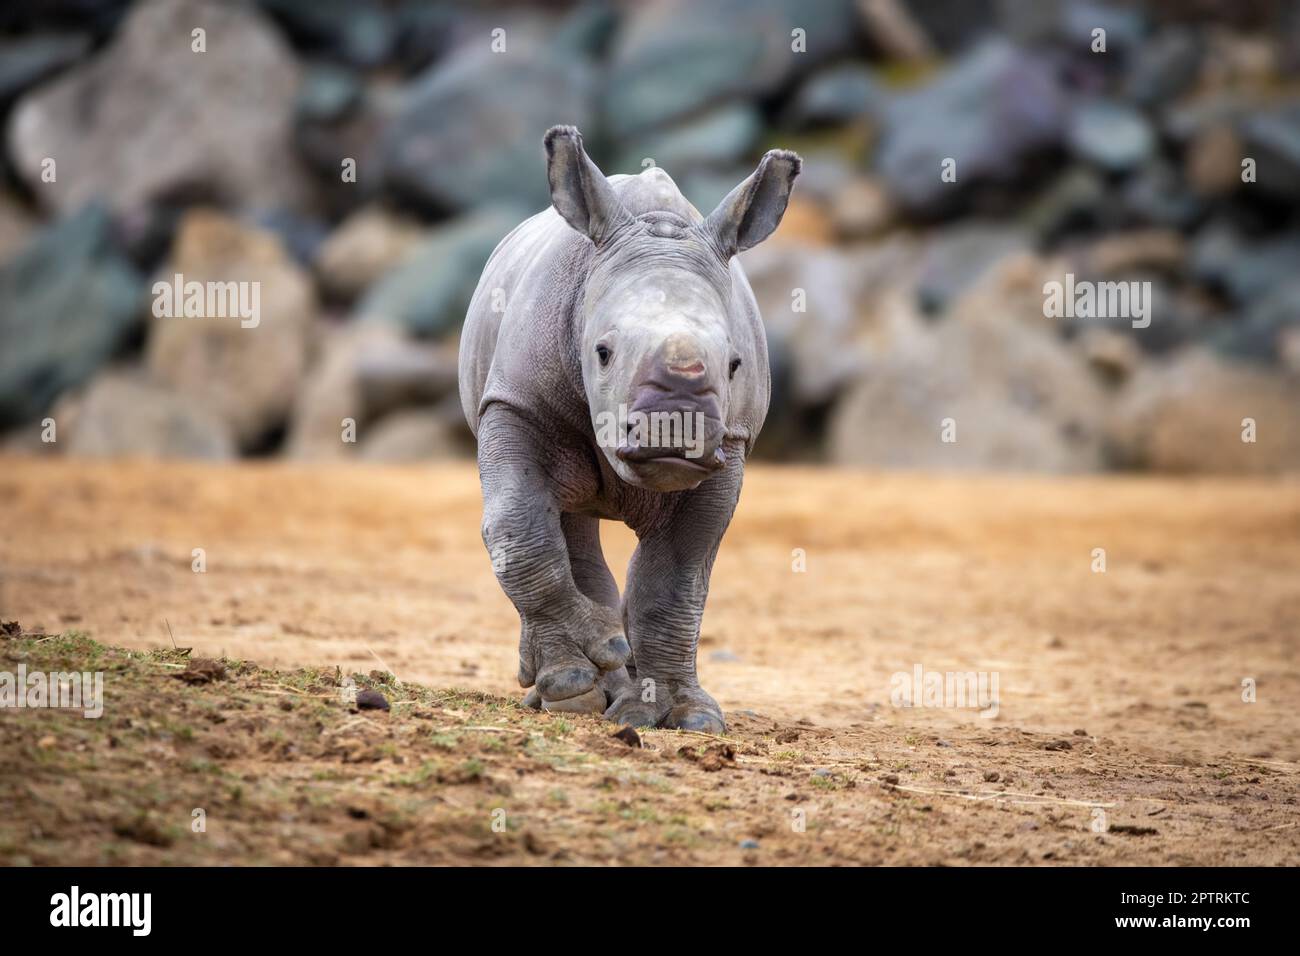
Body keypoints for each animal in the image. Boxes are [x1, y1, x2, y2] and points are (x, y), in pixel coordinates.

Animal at [457, 123, 800, 728]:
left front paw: (680, 716)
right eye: (602, 353)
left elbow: (676, 579)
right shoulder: (515, 402)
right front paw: (573, 682)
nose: (676, 429)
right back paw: (574, 685)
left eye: (735, 364)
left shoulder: (731, 444)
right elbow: (519, 529)